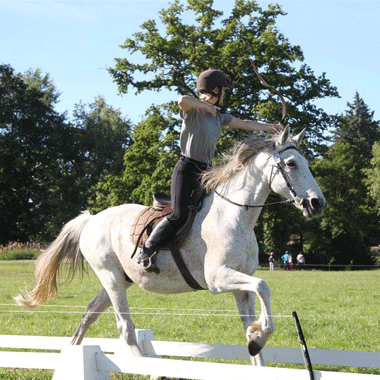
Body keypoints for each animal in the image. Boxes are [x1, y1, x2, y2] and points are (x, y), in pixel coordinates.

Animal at [14, 127, 326, 368]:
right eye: (291, 163)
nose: (317, 204)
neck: (234, 216)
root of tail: (91, 219)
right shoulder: (218, 279)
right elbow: (264, 286)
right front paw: (261, 335)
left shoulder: (240, 285)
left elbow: (251, 319)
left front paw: (256, 341)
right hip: (111, 277)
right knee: (126, 328)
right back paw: (148, 368)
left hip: (118, 280)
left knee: (89, 314)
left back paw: (72, 352)